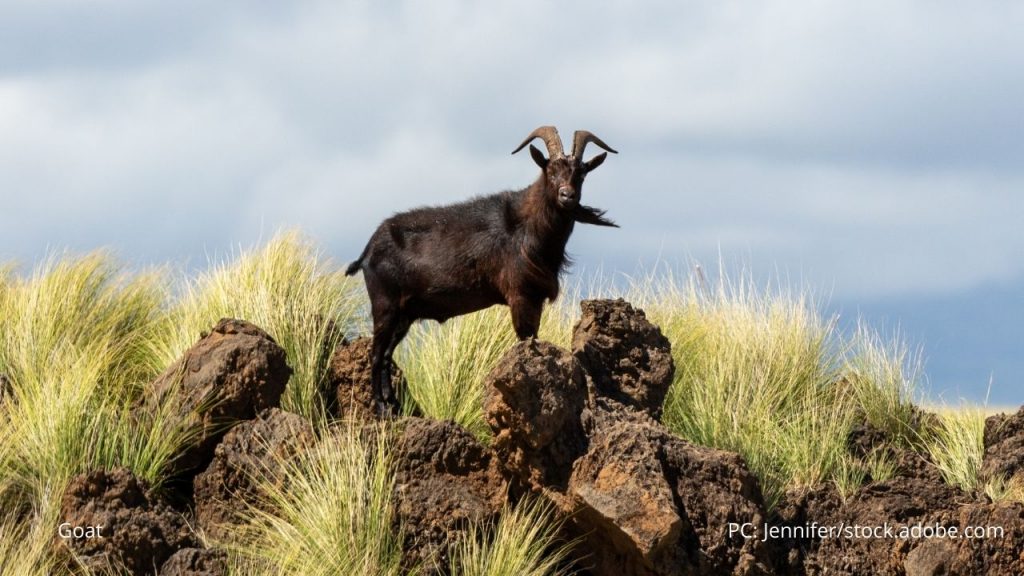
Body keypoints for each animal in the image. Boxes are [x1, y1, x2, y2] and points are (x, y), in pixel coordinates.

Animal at [345, 126, 617, 415]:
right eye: (551, 170)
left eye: (581, 173)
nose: (568, 195)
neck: (528, 228)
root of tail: (368, 251)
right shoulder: (520, 295)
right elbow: (525, 338)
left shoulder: (535, 298)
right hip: (384, 304)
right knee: (376, 354)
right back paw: (380, 407)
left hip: (404, 314)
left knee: (387, 354)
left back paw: (393, 403)